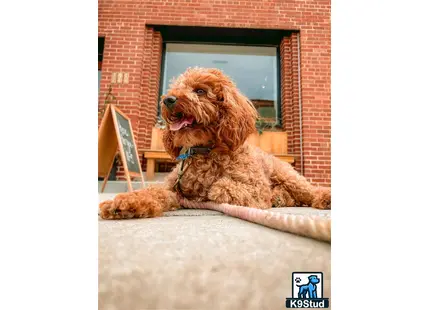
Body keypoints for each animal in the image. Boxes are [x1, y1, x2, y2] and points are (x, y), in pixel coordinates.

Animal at [99, 67, 330, 220]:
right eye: (176, 88)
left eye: (200, 91)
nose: (168, 100)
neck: (203, 150)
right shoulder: (172, 187)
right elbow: (154, 192)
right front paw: (125, 204)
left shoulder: (255, 187)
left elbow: (218, 188)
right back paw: (281, 198)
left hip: (288, 176)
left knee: (310, 191)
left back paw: (322, 198)